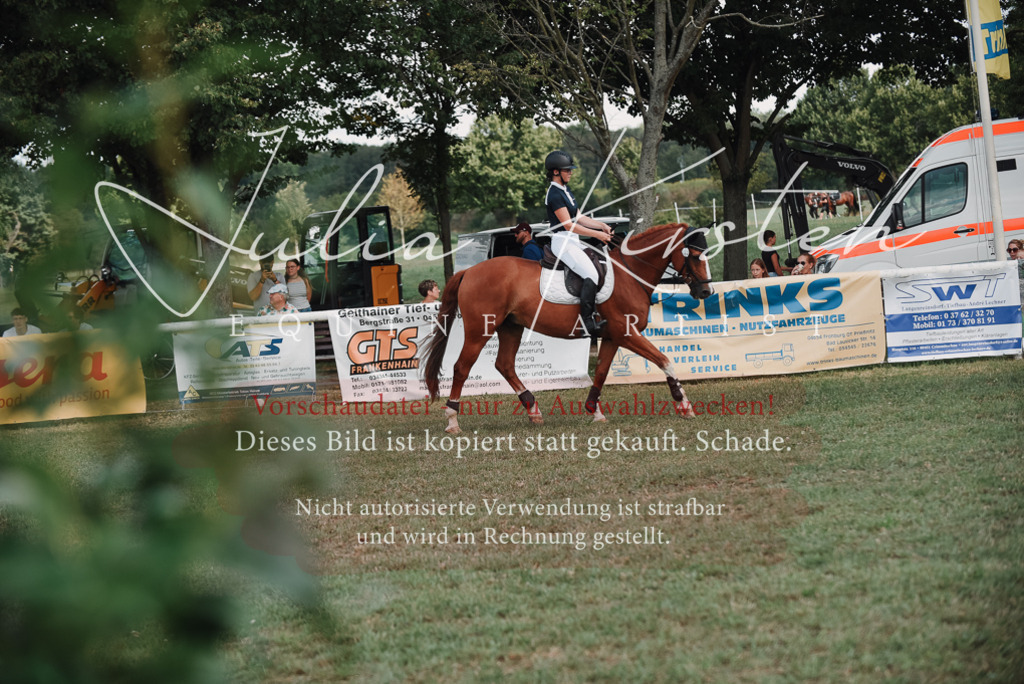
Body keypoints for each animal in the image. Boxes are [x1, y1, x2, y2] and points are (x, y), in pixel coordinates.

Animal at [421, 223, 714, 434]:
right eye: (694, 255)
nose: (706, 292)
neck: (630, 273)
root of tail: (469, 272)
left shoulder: (612, 337)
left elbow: (602, 373)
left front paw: (595, 411)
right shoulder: (627, 332)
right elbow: (665, 360)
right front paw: (684, 405)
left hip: (510, 327)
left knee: (504, 364)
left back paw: (533, 410)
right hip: (480, 329)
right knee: (462, 367)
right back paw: (452, 420)